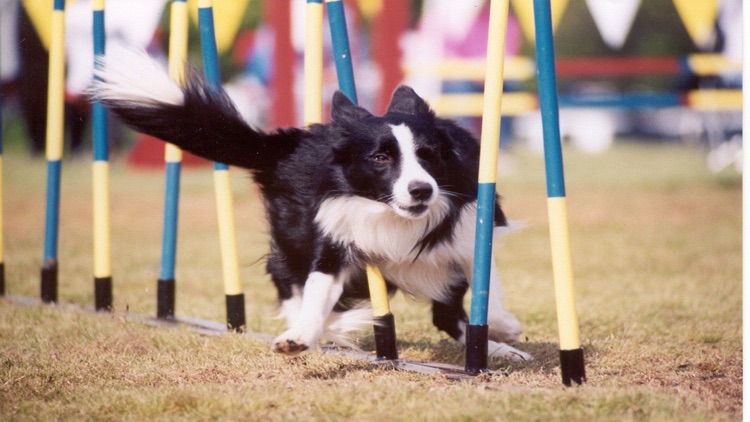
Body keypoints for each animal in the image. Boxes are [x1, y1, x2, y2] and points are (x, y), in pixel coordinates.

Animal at [94, 48, 532, 360]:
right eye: (380, 158)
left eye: (428, 155)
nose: (422, 191)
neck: (390, 215)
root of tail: (289, 144)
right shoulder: (335, 236)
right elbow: (319, 288)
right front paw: (301, 336)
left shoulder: (471, 229)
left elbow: (488, 291)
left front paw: (505, 328)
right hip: (297, 232)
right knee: (286, 276)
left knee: (447, 313)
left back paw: (498, 349)